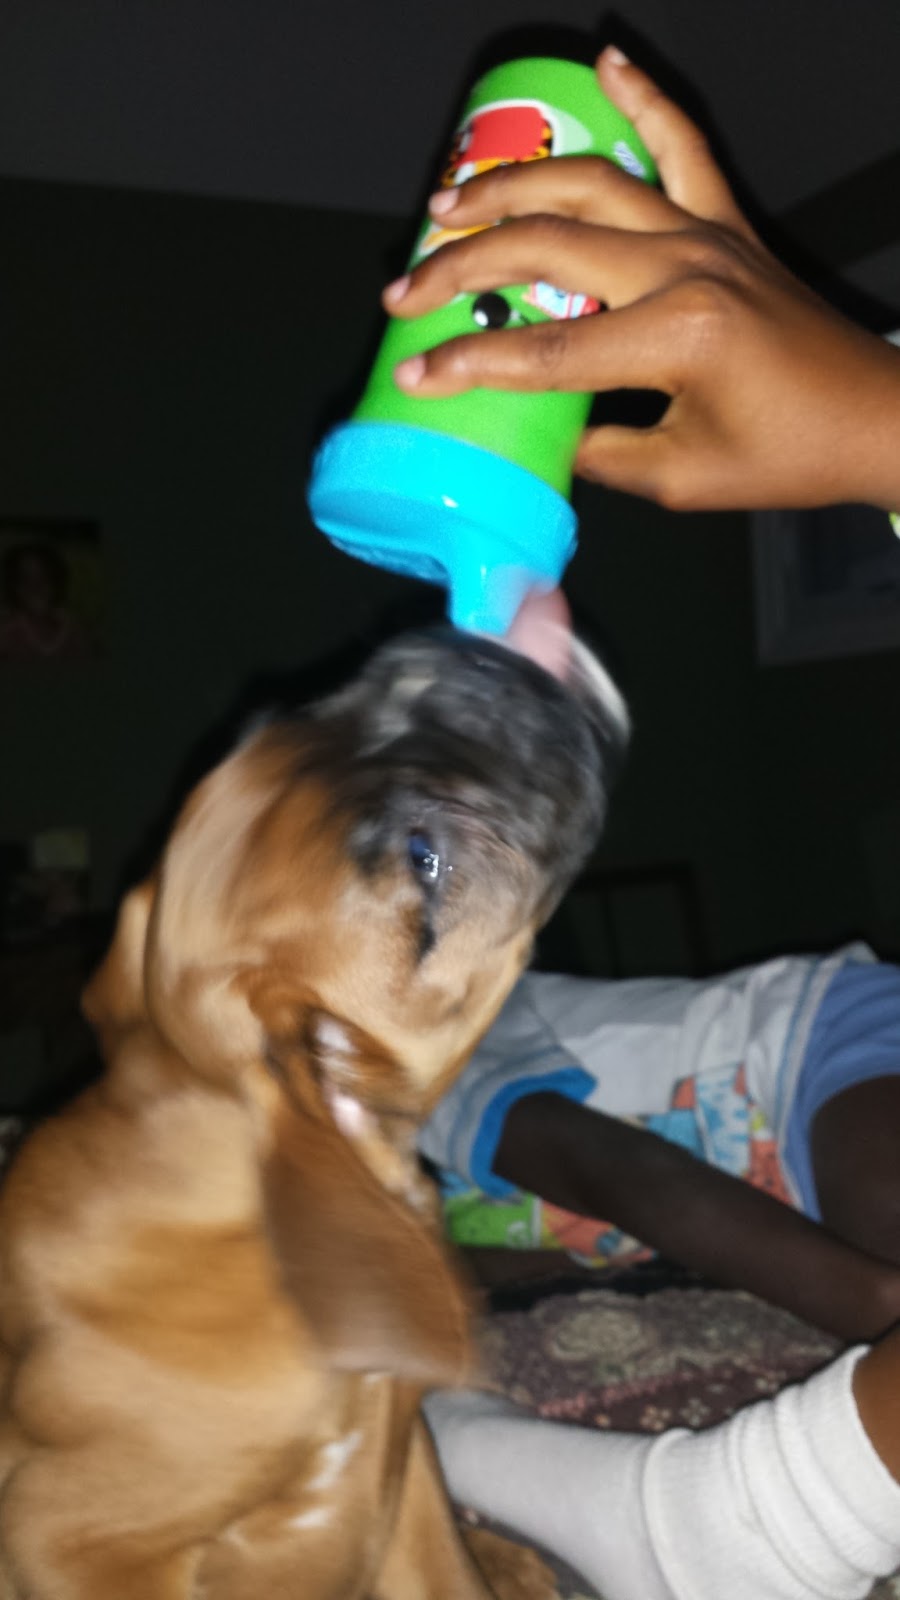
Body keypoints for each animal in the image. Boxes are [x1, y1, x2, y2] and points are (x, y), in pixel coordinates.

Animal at [0, 621, 627, 1599]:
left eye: (271, 718)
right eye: (422, 859)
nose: (460, 664)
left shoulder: (404, 1464)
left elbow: (451, 1575)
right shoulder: (67, 1539)